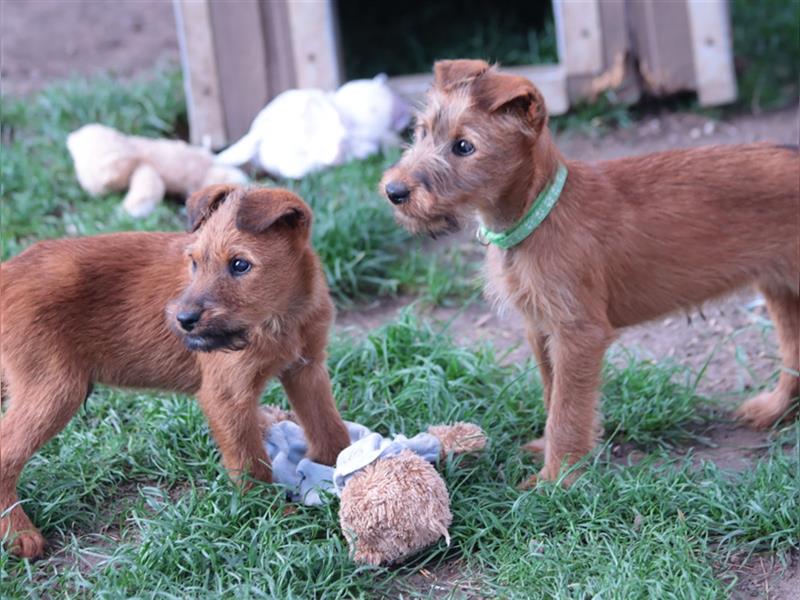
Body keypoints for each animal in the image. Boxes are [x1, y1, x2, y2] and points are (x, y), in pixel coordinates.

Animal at [0, 186, 350, 556]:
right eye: (194, 262)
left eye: (240, 265)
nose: (183, 320)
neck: (281, 318)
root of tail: (6, 273)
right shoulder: (227, 394)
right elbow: (249, 461)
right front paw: (268, 512)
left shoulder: (307, 370)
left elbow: (329, 427)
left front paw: (339, 466)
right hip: (54, 391)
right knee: (6, 453)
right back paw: (17, 532)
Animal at [382, 57, 800, 488]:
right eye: (421, 131)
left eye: (464, 147)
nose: (394, 191)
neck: (538, 211)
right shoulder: (540, 328)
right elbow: (552, 395)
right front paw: (548, 454)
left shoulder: (578, 333)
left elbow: (566, 410)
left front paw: (555, 480)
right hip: (781, 290)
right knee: (793, 353)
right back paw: (774, 409)